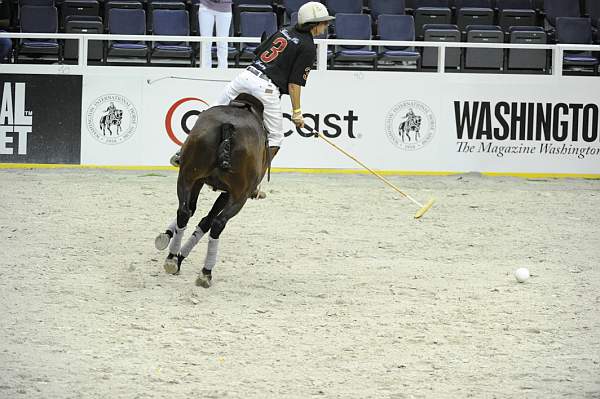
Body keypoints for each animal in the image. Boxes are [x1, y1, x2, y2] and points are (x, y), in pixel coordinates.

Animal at [155, 94, 270, 288]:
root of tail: (228, 127)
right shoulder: (228, 193)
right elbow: (207, 221)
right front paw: (179, 254)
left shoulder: (200, 181)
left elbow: (195, 213)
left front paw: (175, 251)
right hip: (240, 195)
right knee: (218, 223)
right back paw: (205, 272)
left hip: (187, 175)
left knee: (184, 211)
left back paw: (171, 258)